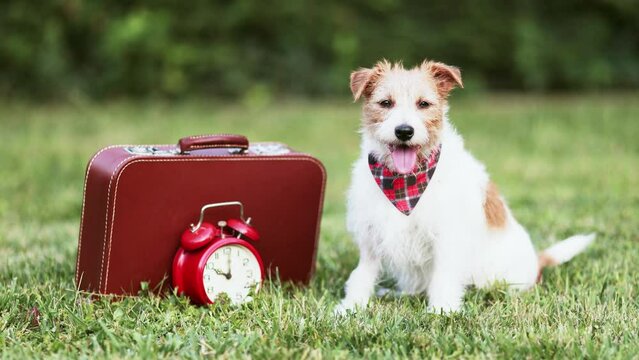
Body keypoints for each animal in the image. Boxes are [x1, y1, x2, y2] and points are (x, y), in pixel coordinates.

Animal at [338, 59, 596, 316]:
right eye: (385, 103)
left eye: (424, 104)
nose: (404, 131)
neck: (405, 184)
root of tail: (535, 262)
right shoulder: (370, 237)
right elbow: (362, 275)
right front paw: (351, 307)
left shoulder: (447, 236)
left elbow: (443, 276)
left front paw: (441, 311)